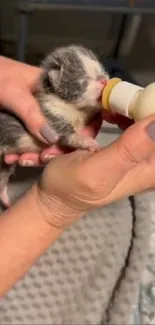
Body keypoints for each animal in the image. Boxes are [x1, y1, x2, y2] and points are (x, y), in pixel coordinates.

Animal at [0, 44, 109, 206]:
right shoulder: (51, 117)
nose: (104, 80)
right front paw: (89, 142)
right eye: (84, 81)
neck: (73, 109)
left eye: (101, 70)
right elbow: (69, 136)